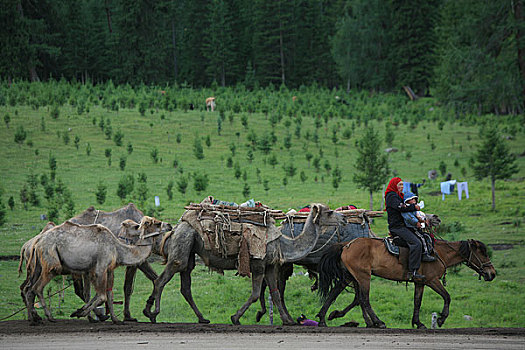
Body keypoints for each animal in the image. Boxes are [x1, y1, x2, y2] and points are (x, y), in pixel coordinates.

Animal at [21, 216, 165, 326]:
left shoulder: (104, 270)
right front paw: (82, 313)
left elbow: (106, 294)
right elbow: (101, 295)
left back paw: (33, 319)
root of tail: (37, 242)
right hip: (51, 263)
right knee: (37, 287)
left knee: (28, 289)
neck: (117, 249)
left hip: (38, 266)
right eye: (158, 223)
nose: (168, 225)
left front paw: (115, 319)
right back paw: (49, 317)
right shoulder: (100, 268)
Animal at [141, 204, 344, 324]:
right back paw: (152, 313)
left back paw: (202, 319)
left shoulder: (270, 265)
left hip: (190, 249)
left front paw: (288, 321)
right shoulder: (258, 264)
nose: (343, 219)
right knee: (162, 278)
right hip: (183, 243)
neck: (282, 243)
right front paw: (235, 318)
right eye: (329, 212)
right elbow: (255, 294)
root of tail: (177, 225)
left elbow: (275, 294)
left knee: (185, 285)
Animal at [318, 238, 494, 328]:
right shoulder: (432, 280)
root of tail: (346, 245)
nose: (492, 273)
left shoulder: (420, 283)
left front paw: (418, 323)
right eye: (483, 253)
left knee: (338, 294)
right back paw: (377, 322)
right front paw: (441, 319)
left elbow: (417, 302)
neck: (439, 253)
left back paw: (324, 318)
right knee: (364, 300)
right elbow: (447, 296)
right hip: (363, 277)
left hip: (351, 276)